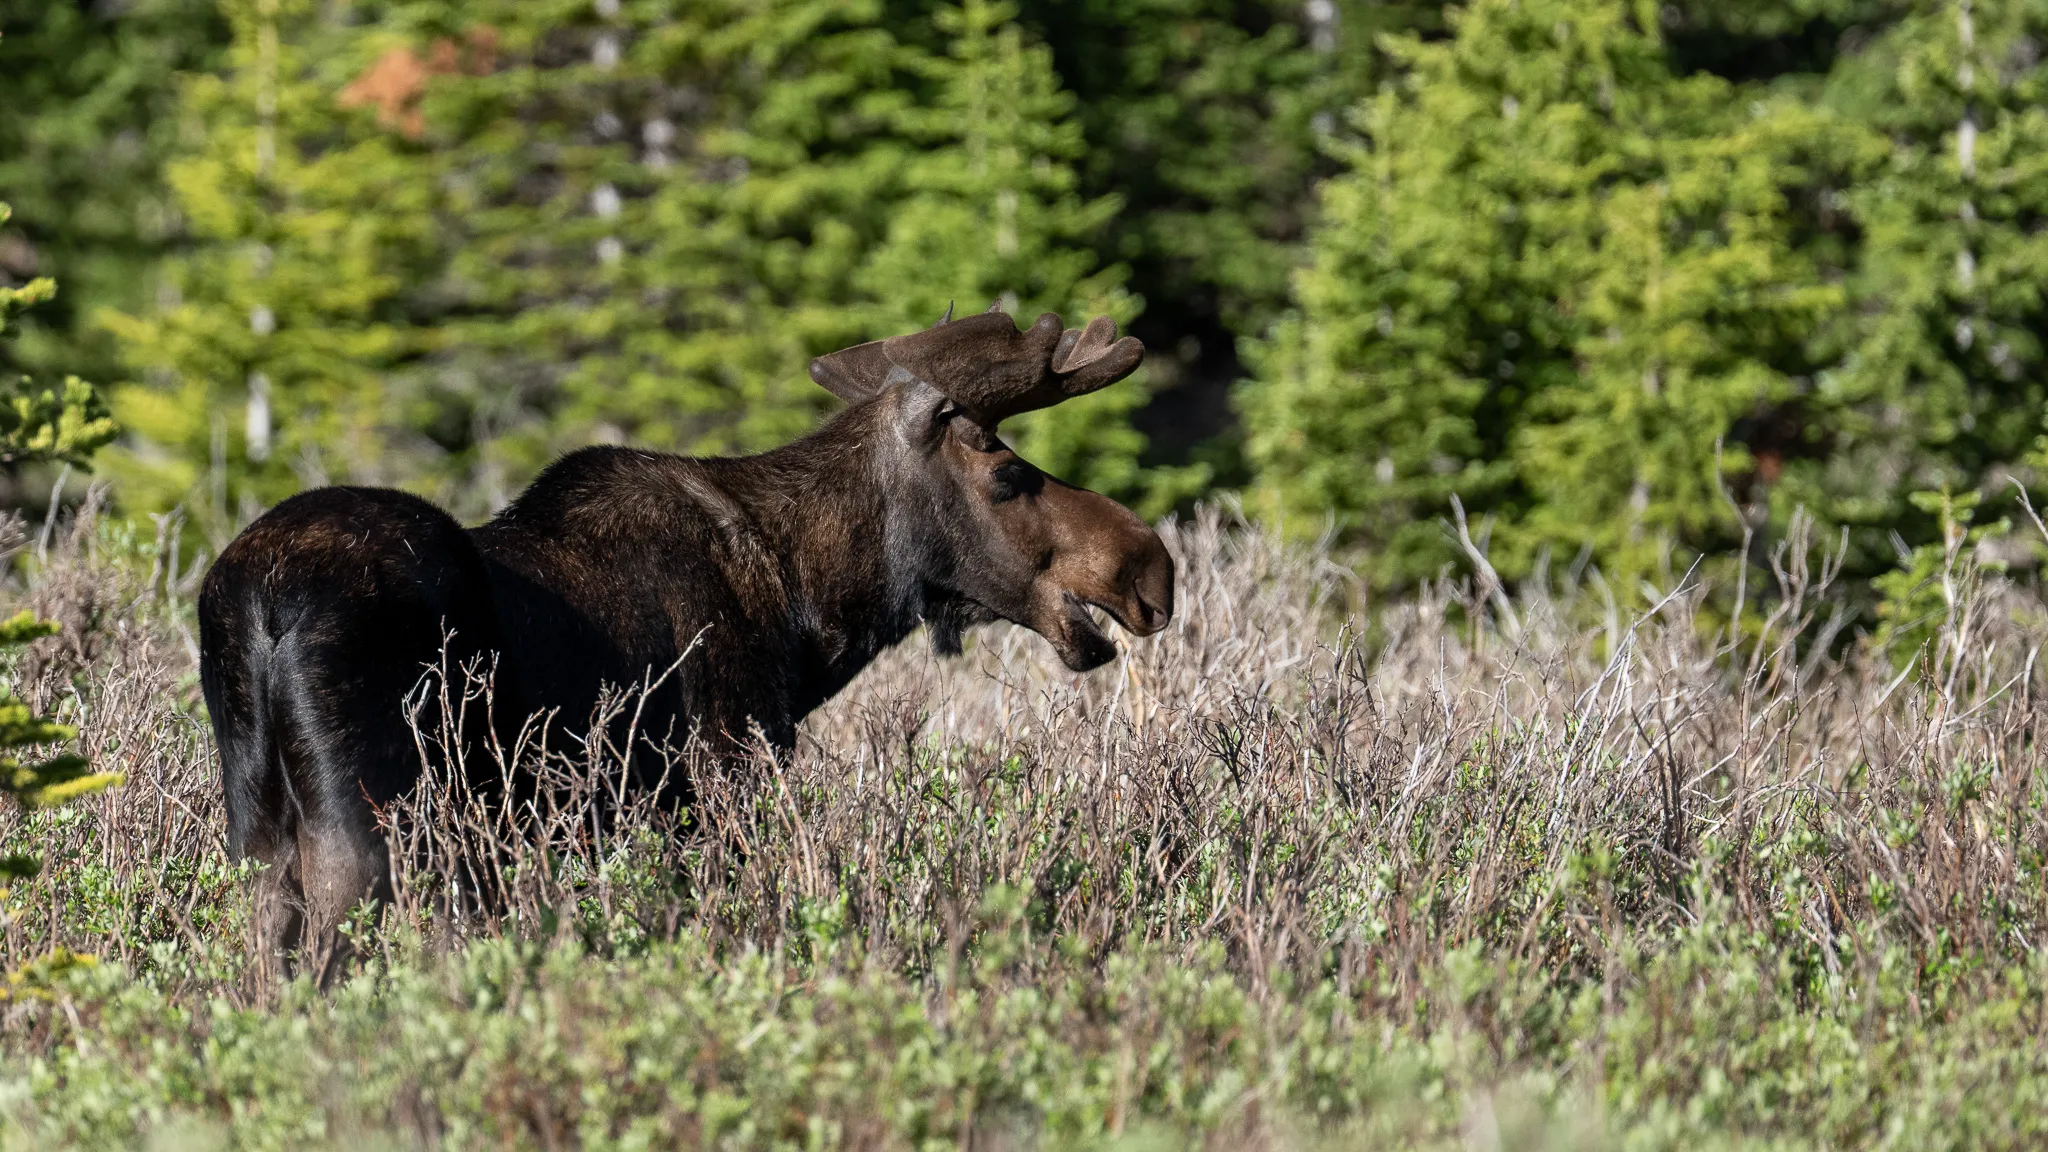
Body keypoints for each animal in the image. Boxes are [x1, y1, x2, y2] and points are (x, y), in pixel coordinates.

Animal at [197, 307, 1175, 966]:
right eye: (1008, 473)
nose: (1151, 567)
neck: (805, 612)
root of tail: (259, 603)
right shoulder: (722, 771)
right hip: (373, 823)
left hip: (257, 832)